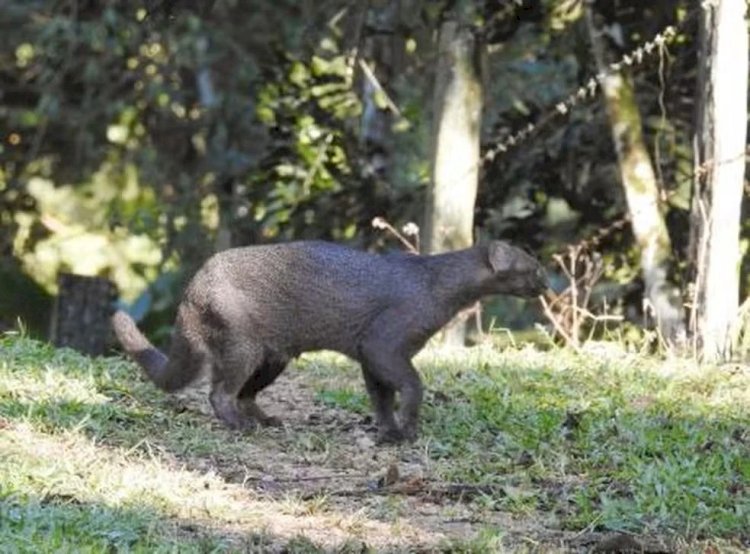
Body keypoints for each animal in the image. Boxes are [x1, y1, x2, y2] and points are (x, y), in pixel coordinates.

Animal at [110, 239, 548, 442]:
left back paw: (268, 420)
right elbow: (411, 385)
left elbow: (380, 397)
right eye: (533, 266)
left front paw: (389, 431)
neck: (433, 285)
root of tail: (191, 288)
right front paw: (408, 429)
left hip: (274, 357)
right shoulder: (383, 342)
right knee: (219, 393)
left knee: (243, 394)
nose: (547, 283)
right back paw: (242, 426)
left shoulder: (371, 354)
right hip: (243, 346)